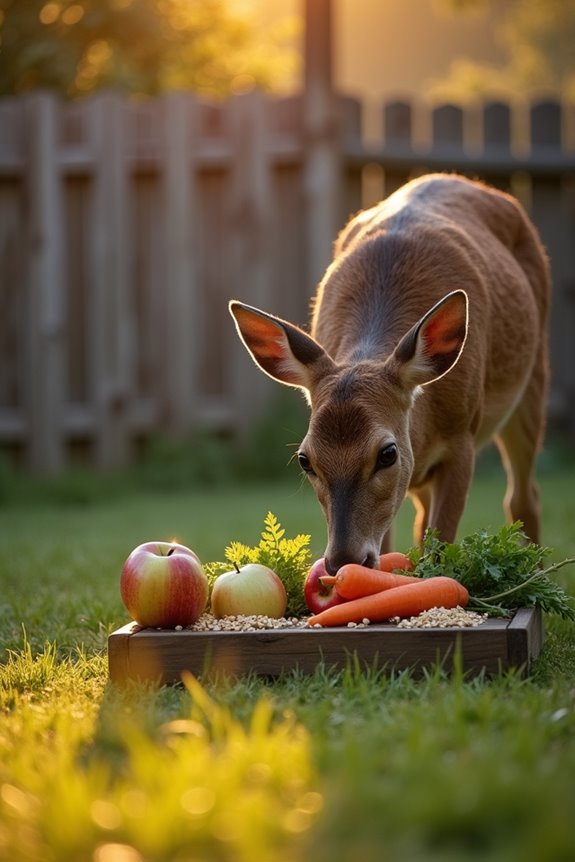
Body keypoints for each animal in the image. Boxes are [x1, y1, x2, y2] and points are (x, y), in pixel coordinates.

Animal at [229, 173, 550, 575]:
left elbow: (441, 547)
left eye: (387, 453)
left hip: (532, 380)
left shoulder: (462, 436)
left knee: (523, 498)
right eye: (305, 459)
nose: (343, 560)